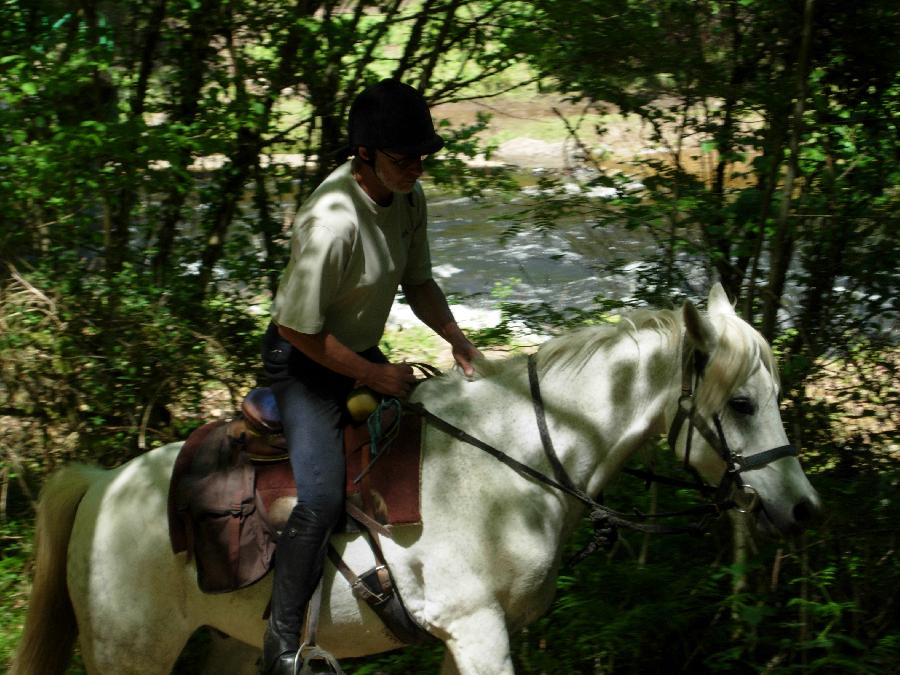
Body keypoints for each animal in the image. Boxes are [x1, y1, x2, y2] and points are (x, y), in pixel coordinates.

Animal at [10, 286, 824, 675]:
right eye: (742, 403)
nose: (802, 509)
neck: (518, 457)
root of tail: (102, 485)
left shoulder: (467, 637)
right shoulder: (477, 628)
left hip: (226, 640)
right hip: (131, 653)